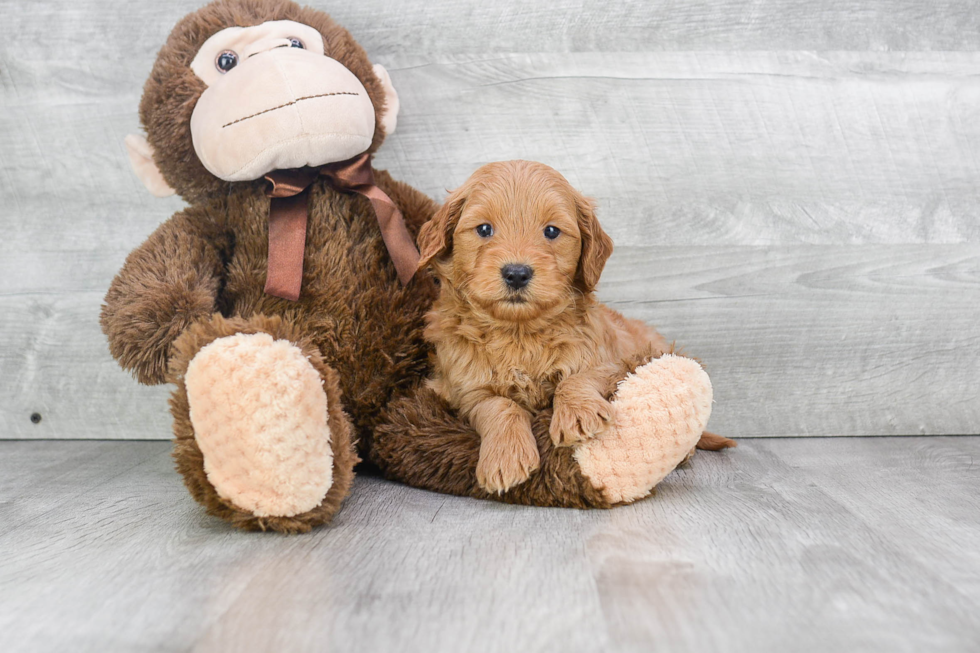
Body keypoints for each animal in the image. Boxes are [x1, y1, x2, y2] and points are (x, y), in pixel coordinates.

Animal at [418, 160, 732, 492]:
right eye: (484, 229)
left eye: (552, 231)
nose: (516, 273)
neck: (520, 331)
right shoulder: (464, 388)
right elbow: (498, 405)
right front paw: (506, 457)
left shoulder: (613, 361)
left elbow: (576, 378)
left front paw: (579, 414)